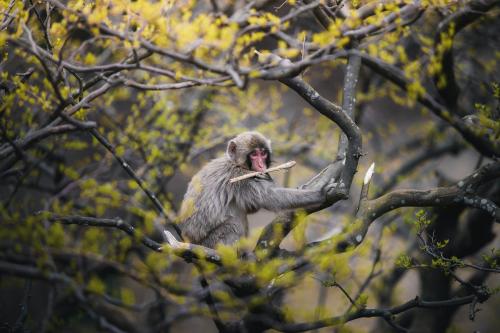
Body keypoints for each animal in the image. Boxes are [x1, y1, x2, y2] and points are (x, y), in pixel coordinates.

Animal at [177, 131, 336, 248]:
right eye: (254, 154)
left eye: (263, 153)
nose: (261, 165)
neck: (236, 163)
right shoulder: (239, 178)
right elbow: (269, 198)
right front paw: (320, 194)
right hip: (211, 243)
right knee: (234, 224)